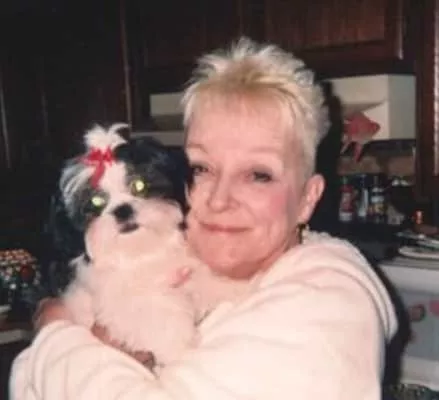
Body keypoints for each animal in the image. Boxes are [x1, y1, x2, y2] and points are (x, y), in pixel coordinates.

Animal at [43, 123, 247, 365]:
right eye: (96, 201)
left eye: (139, 185)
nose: (123, 210)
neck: (142, 254)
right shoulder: (121, 304)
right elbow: (157, 313)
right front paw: (178, 349)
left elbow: (203, 277)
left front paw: (234, 286)